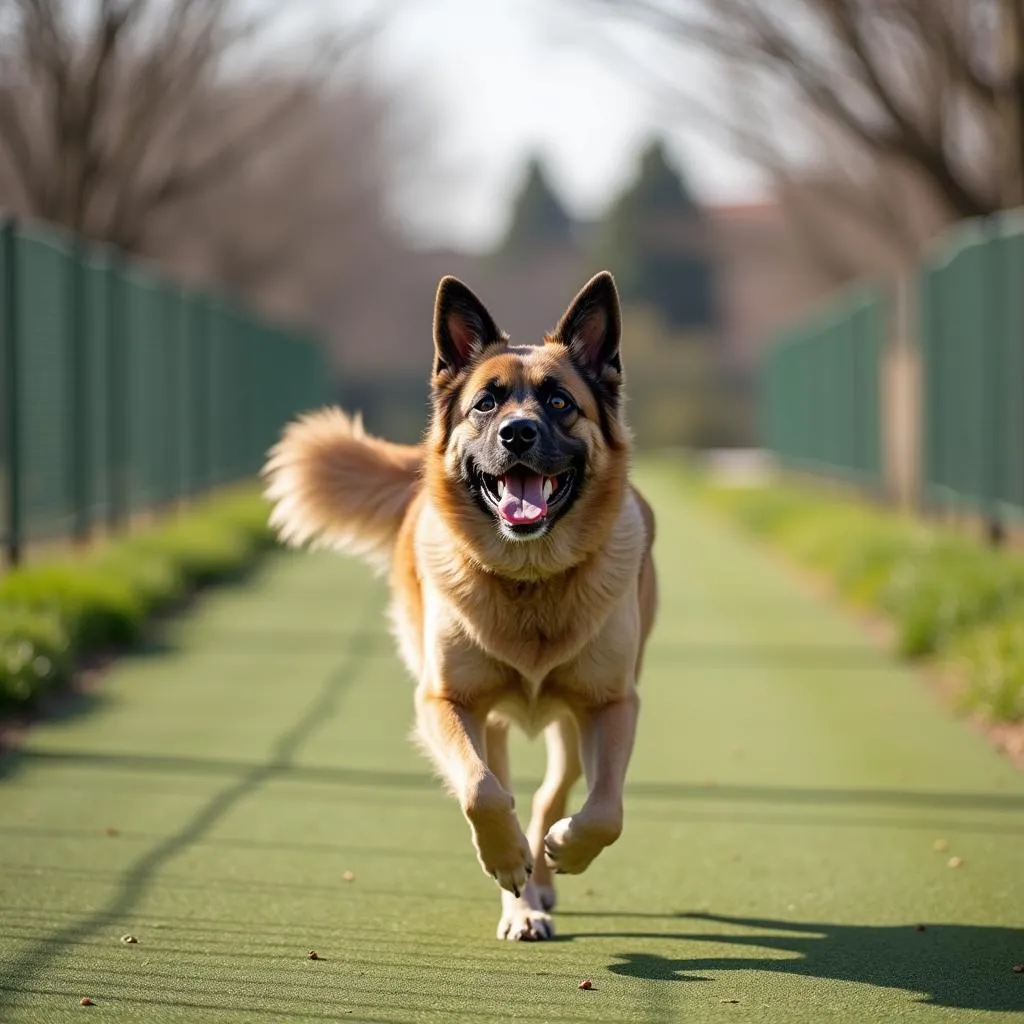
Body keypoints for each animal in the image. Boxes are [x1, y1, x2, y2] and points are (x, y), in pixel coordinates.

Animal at [262, 272, 655, 942]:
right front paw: (508, 862)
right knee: (502, 784)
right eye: (485, 405)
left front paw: (563, 850)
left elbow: (607, 811)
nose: (517, 434)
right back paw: (520, 894)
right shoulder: (445, 701)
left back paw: (542, 874)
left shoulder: (612, 704)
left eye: (559, 403)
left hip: (572, 723)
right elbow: (483, 792)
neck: (530, 578)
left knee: (553, 791)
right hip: (488, 720)